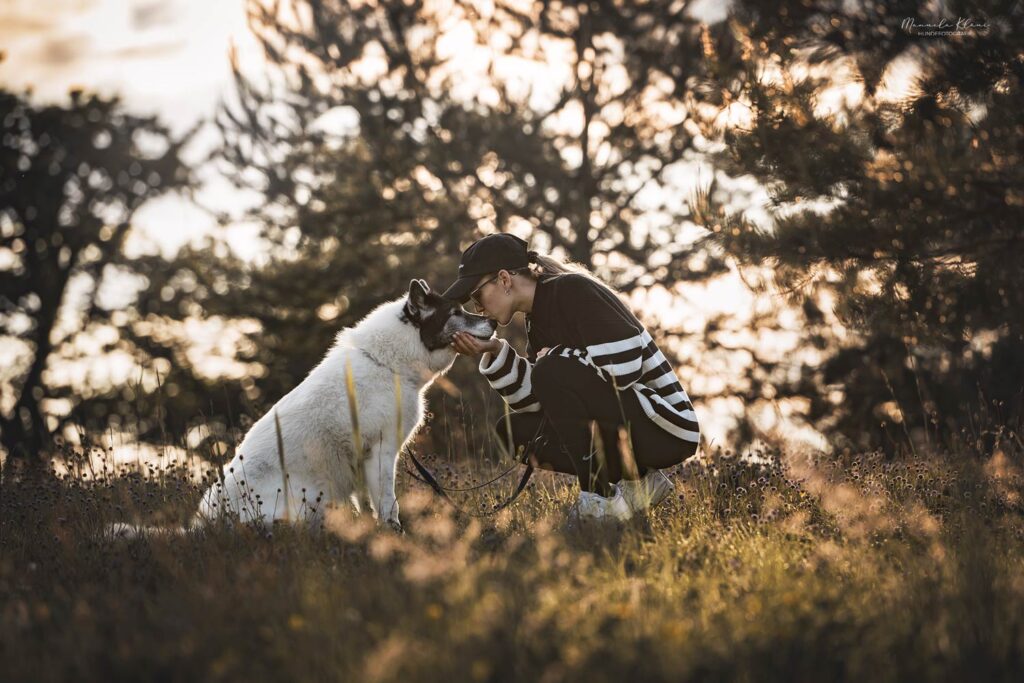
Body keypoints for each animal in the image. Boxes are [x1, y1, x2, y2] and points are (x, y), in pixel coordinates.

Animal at [113, 280, 495, 536]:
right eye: (456, 313)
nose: (492, 321)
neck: (387, 363)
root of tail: (203, 528)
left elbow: (368, 505)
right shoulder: (382, 452)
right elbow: (389, 505)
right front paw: (395, 537)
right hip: (310, 500)